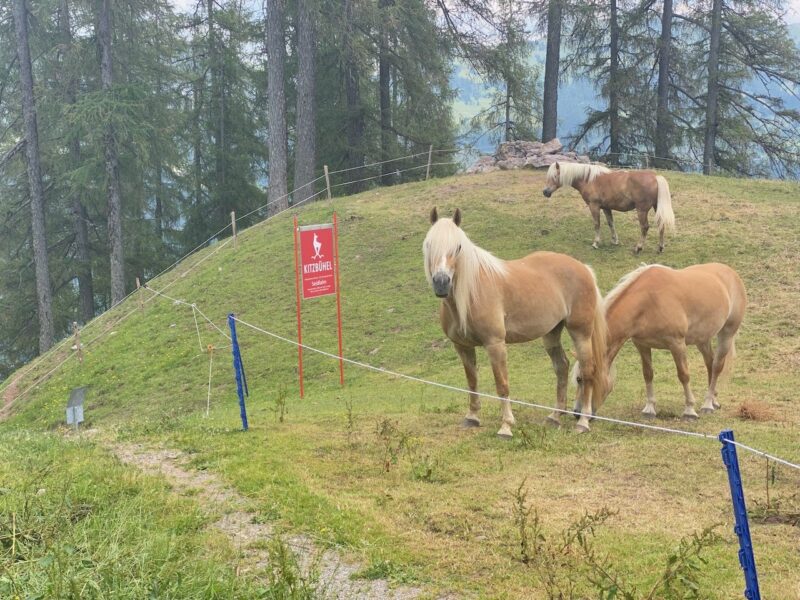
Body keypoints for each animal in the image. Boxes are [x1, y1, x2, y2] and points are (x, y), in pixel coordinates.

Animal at [424, 207, 608, 436]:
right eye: (429, 244)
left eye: (458, 247)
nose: (441, 283)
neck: (471, 293)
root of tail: (583, 267)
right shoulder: (462, 346)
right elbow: (472, 381)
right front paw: (472, 417)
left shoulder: (495, 344)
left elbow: (502, 384)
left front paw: (506, 425)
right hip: (551, 333)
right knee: (562, 367)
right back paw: (555, 417)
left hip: (581, 333)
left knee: (588, 370)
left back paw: (582, 422)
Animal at [544, 162, 676, 253]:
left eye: (555, 176)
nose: (545, 192)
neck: (589, 180)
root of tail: (655, 177)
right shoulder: (606, 207)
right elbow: (611, 223)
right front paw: (615, 241)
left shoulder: (594, 206)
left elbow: (597, 224)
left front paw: (596, 243)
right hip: (656, 207)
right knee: (661, 225)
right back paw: (660, 247)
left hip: (642, 210)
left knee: (644, 227)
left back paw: (638, 247)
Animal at [572, 264, 748, 422]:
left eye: (581, 379)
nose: (577, 413)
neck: (648, 301)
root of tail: (731, 273)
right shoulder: (642, 345)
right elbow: (648, 374)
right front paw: (649, 409)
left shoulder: (677, 344)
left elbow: (684, 375)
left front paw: (689, 411)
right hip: (702, 340)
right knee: (710, 364)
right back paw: (714, 400)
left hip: (726, 334)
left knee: (717, 366)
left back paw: (707, 404)